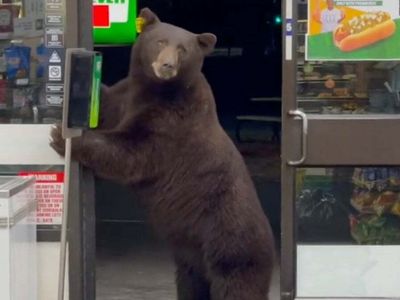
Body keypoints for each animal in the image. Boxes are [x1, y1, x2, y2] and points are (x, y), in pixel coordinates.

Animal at [49, 7, 276, 300]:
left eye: (182, 49)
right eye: (160, 42)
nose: (166, 66)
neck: (156, 89)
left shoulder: (172, 123)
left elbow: (135, 151)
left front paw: (64, 137)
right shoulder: (125, 97)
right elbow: (107, 105)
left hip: (232, 241)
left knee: (236, 285)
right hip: (192, 258)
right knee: (191, 283)